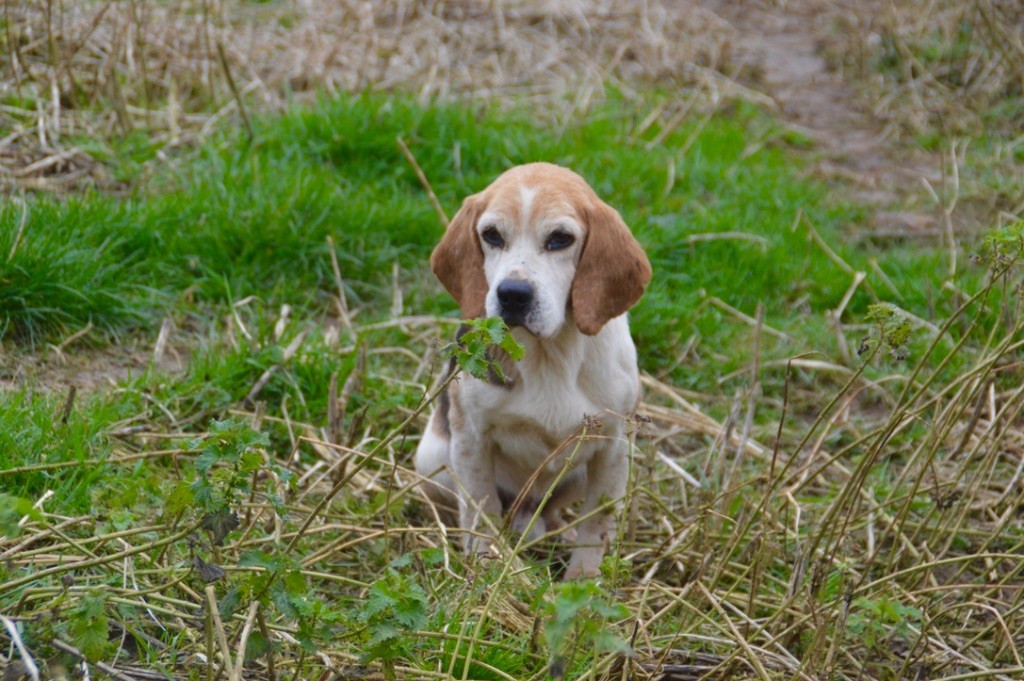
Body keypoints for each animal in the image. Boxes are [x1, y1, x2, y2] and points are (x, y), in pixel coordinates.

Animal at [413, 161, 647, 577]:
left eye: (560, 239)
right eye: (491, 235)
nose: (512, 295)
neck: (548, 352)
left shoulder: (614, 446)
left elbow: (596, 524)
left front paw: (582, 582)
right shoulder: (471, 436)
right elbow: (482, 508)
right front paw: (487, 566)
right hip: (433, 463)